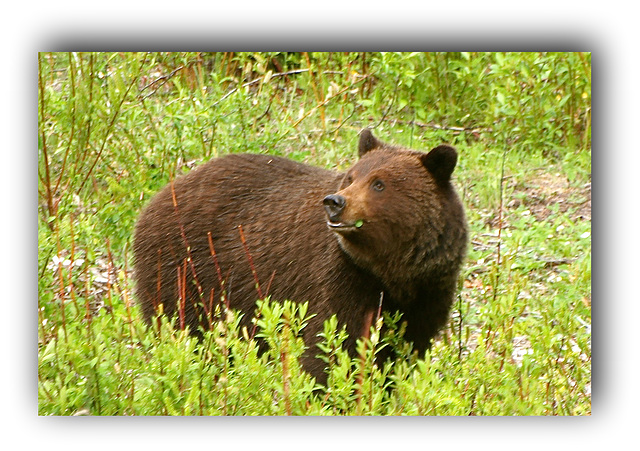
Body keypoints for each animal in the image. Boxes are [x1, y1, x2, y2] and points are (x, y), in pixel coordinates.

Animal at [132, 129, 468, 384]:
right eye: (351, 177)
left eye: (379, 183)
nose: (336, 202)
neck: (392, 272)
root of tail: (158, 196)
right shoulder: (341, 278)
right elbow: (331, 346)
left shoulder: (428, 292)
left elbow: (406, 351)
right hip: (185, 269)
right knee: (183, 329)